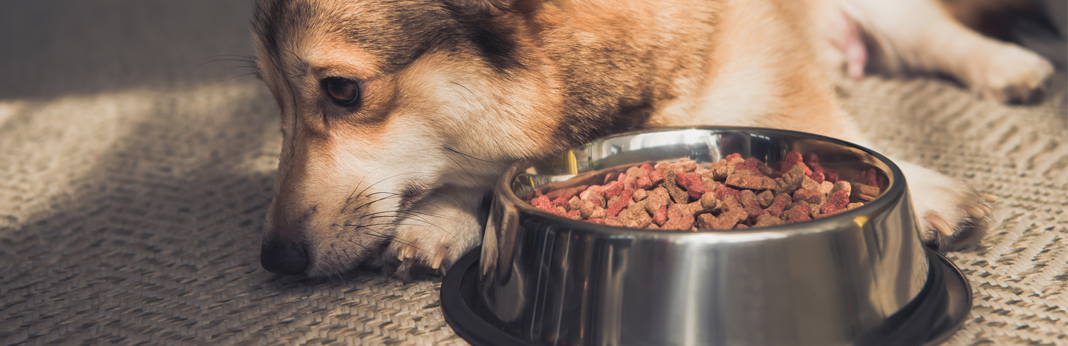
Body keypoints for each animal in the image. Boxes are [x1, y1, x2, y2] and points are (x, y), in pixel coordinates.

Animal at [249, 0, 1050, 277]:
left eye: (342, 91)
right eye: (272, 96)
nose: (275, 260)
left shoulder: (776, 64)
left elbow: (828, 129)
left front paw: (923, 192)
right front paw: (441, 218)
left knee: (938, 36)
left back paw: (1013, 68)